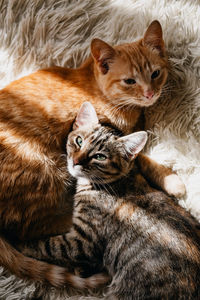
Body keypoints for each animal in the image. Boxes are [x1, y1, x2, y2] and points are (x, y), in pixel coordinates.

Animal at [0, 21, 184, 286]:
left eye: (155, 74)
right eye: (130, 81)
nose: (150, 94)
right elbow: (138, 157)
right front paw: (171, 180)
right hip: (49, 171)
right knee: (36, 229)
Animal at [21, 102, 200, 298]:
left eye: (100, 157)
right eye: (79, 141)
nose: (75, 161)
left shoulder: (82, 240)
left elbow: (48, 245)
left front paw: (20, 244)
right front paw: (83, 268)